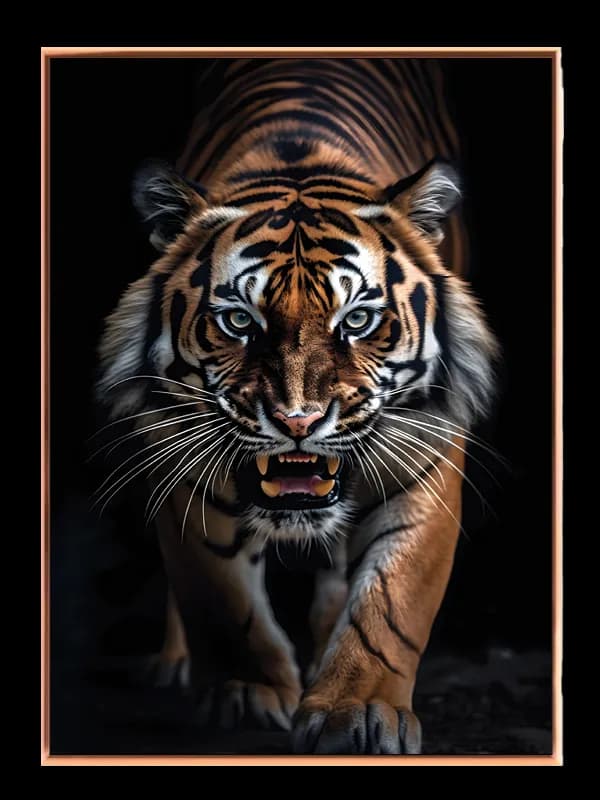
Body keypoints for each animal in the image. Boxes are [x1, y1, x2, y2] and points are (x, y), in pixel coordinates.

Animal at [96, 58, 498, 755]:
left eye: (358, 320)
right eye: (238, 321)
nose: (298, 422)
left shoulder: (429, 445)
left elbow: (392, 600)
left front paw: (357, 710)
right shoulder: (180, 451)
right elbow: (220, 593)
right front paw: (247, 696)